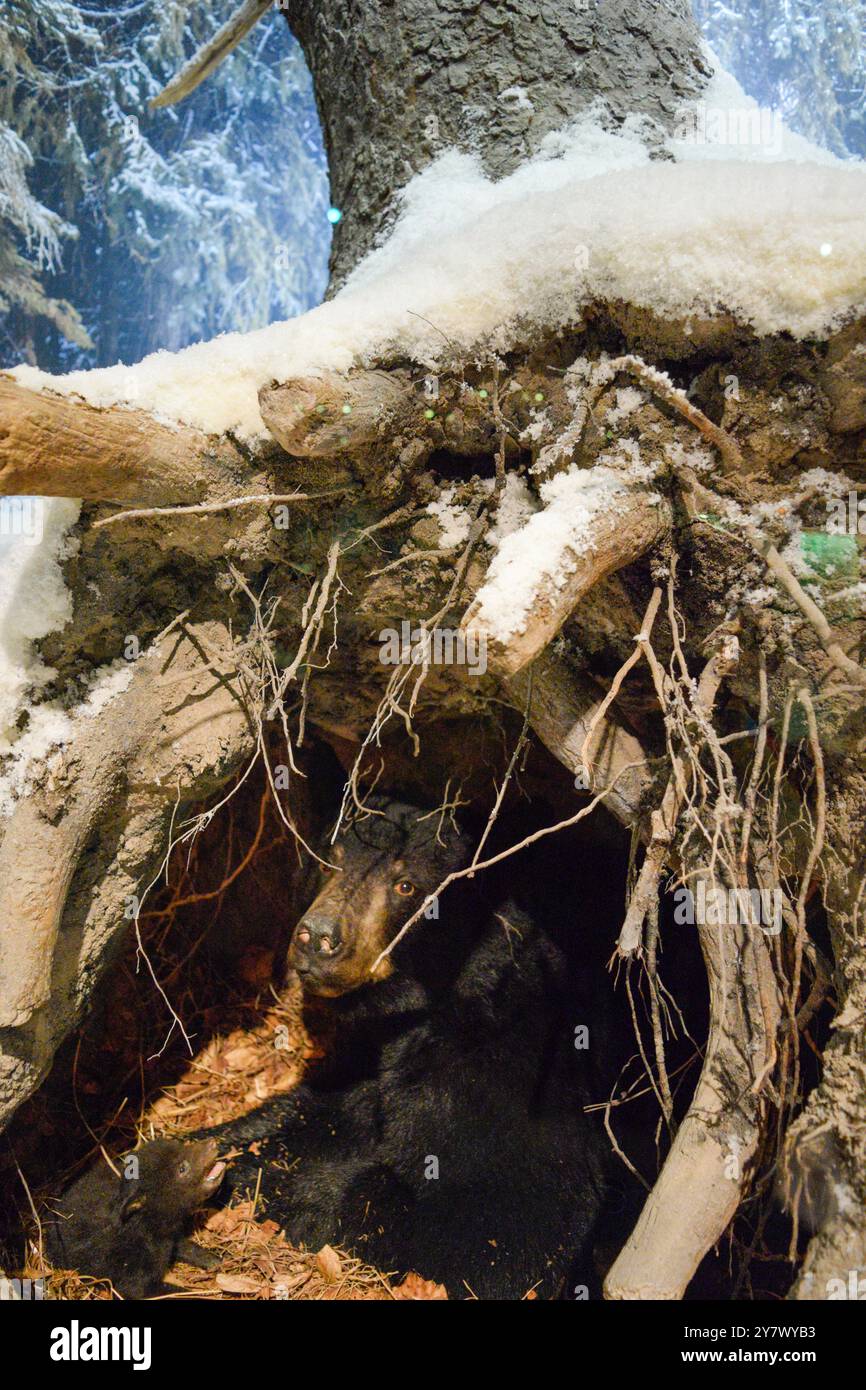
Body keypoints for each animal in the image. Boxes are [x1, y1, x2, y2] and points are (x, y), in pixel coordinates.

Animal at [205, 799, 608, 1299]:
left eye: (406, 885)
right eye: (329, 858)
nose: (317, 937)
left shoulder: (491, 1080)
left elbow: (485, 1238)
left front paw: (256, 1181)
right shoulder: (373, 1059)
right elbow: (315, 1107)